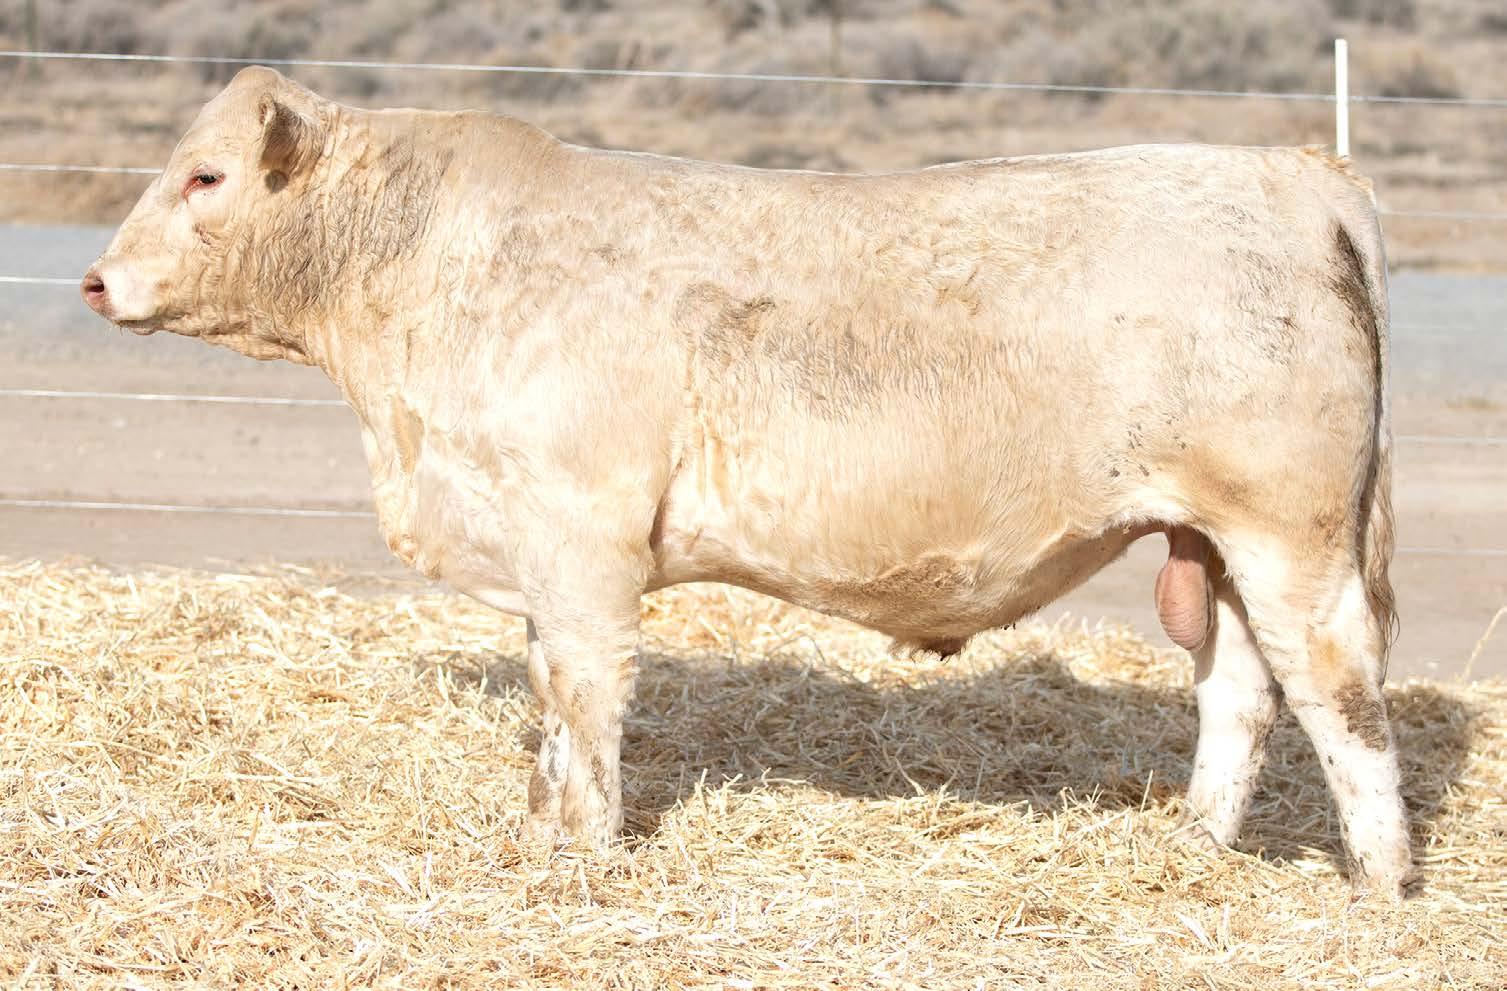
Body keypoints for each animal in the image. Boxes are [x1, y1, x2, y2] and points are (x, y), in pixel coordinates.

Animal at [82, 66, 1410, 897]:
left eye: (206, 178)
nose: (96, 281)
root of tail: (1301, 172)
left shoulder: (580, 535)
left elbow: (584, 695)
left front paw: (586, 852)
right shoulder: (534, 545)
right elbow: (547, 694)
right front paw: (540, 830)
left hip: (1292, 535)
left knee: (1340, 692)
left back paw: (1382, 882)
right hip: (1216, 543)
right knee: (1239, 691)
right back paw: (1195, 846)